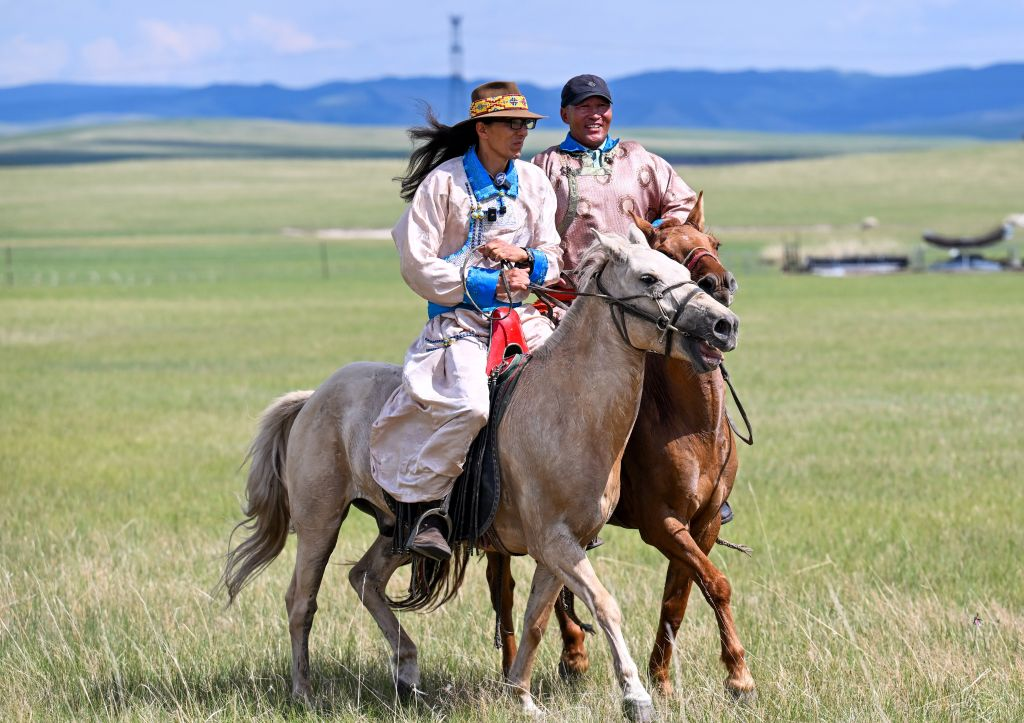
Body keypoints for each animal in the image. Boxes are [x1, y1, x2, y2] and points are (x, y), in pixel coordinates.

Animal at [221, 229, 740, 721]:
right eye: (648, 277)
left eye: (683, 271)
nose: (725, 324)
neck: (568, 409)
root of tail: (314, 397)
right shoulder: (557, 541)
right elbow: (604, 604)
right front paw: (635, 697)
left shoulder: (562, 547)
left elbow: (535, 620)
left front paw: (522, 698)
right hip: (320, 523)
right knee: (301, 601)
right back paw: (304, 692)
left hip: (396, 531)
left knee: (365, 579)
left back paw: (408, 672)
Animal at [484, 192, 756, 700]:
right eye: (664, 256)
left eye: (713, 243)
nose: (721, 294)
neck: (694, 426)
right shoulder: (661, 523)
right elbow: (717, 584)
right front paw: (739, 675)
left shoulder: (704, 523)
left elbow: (681, 597)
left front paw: (662, 677)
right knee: (505, 591)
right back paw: (543, 662)